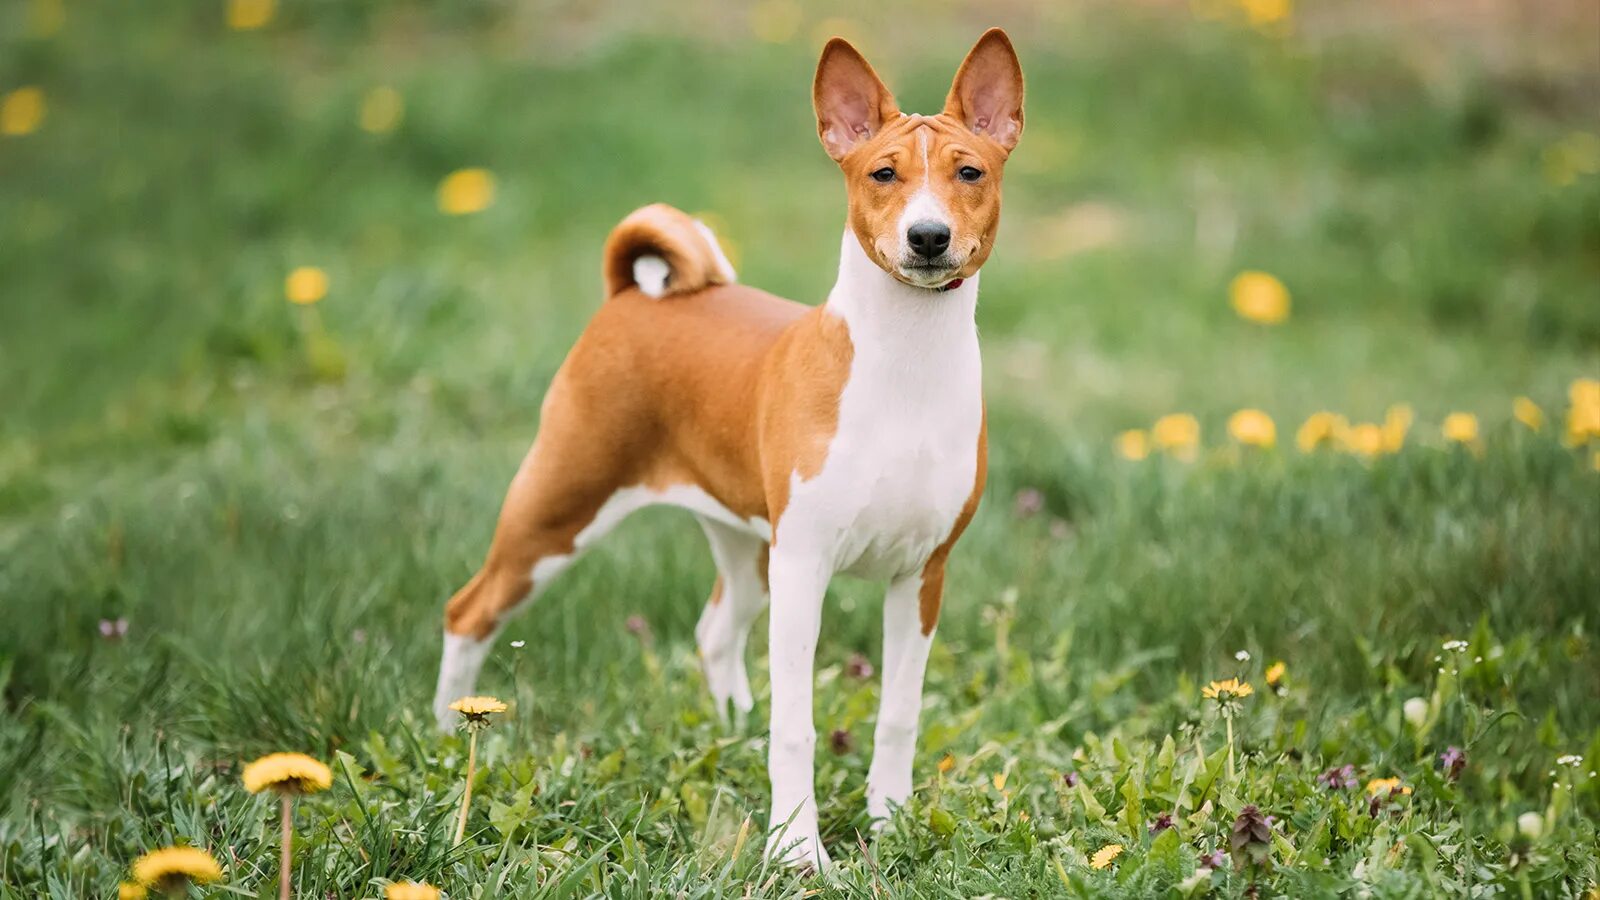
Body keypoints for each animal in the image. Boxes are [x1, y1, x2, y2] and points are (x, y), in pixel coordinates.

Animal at [428, 29, 1024, 871]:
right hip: (558, 510)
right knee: (469, 610)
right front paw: (799, 850)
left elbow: (898, 716)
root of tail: (633, 296)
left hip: (747, 547)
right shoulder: (807, 565)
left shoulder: (921, 575)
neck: (904, 367)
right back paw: (449, 738)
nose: (929, 237)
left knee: (715, 632)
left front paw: (891, 823)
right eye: (883, 173)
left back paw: (733, 727)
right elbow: (797, 727)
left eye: (969, 172)